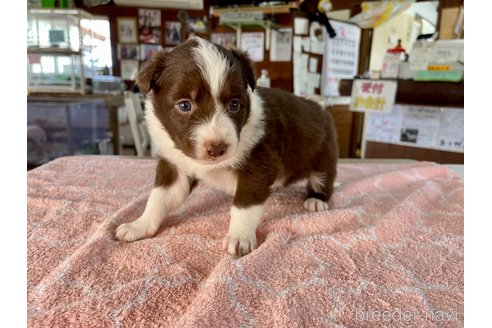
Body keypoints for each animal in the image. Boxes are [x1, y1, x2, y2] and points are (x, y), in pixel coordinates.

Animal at [115, 36, 338, 256]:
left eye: (234, 105)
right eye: (184, 105)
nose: (217, 148)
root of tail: (320, 108)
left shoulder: (258, 165)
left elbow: (244, 205)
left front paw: (239, 238)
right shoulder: (175, 165)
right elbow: (159, 198)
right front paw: (140, 225)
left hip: (324, 154)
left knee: (323, 177)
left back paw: (317, 199)